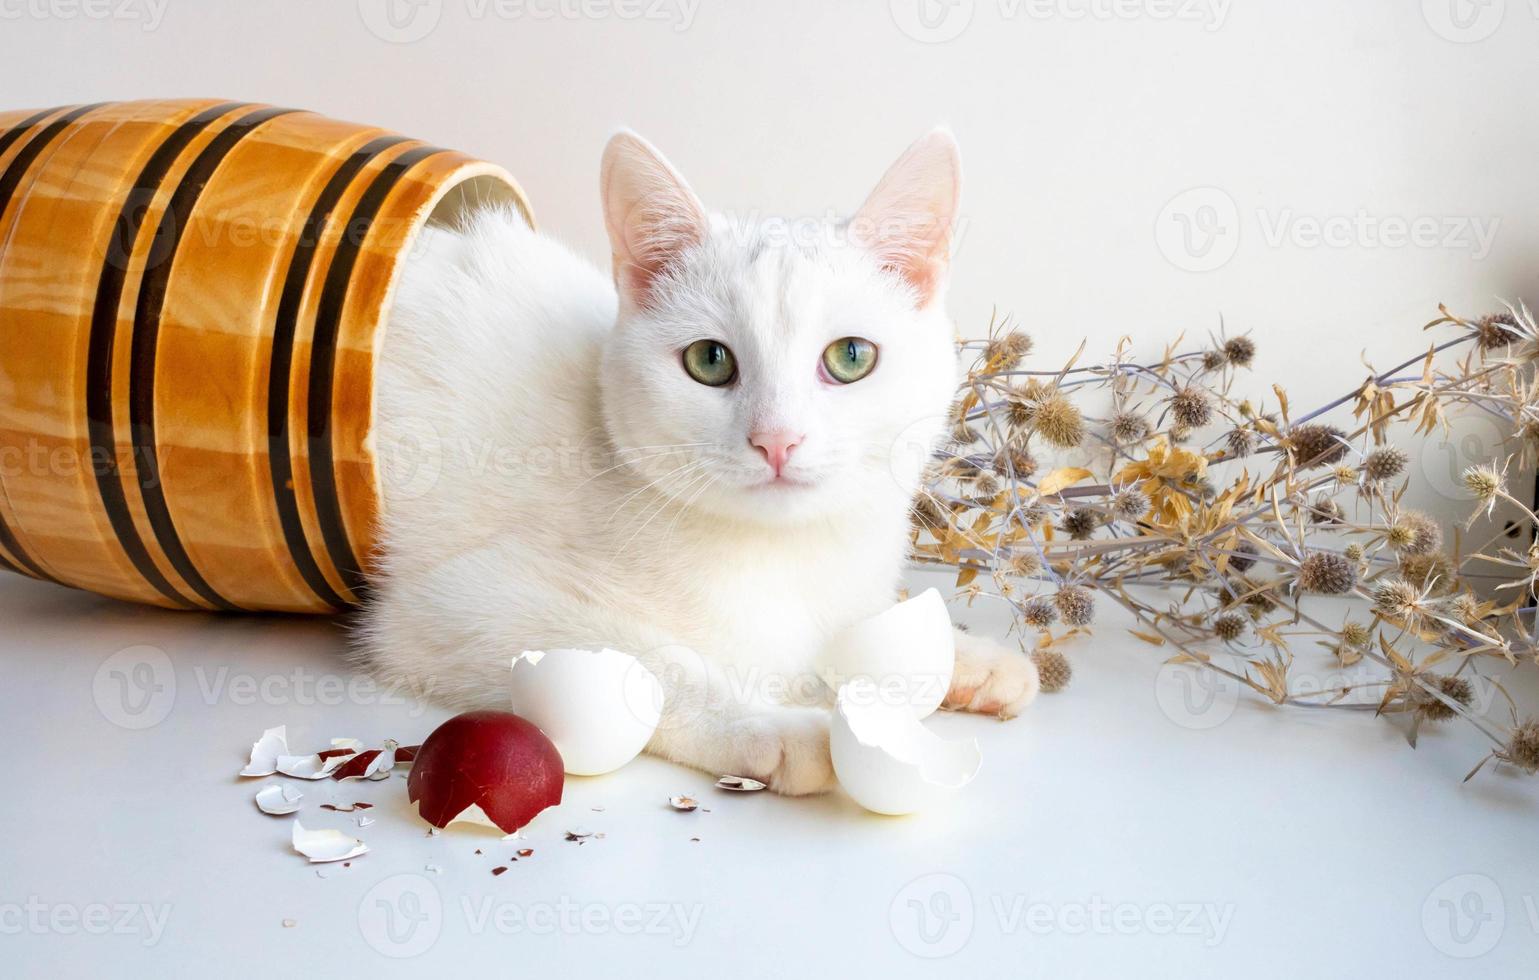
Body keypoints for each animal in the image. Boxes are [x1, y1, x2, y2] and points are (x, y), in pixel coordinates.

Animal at [361, 127, 1040, 793]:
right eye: (709, 361)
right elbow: (648, 663)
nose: (777, 439)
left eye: (851, 356)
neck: (787, 554)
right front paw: (772, 726)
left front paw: (972, 659)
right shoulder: (452, 605)